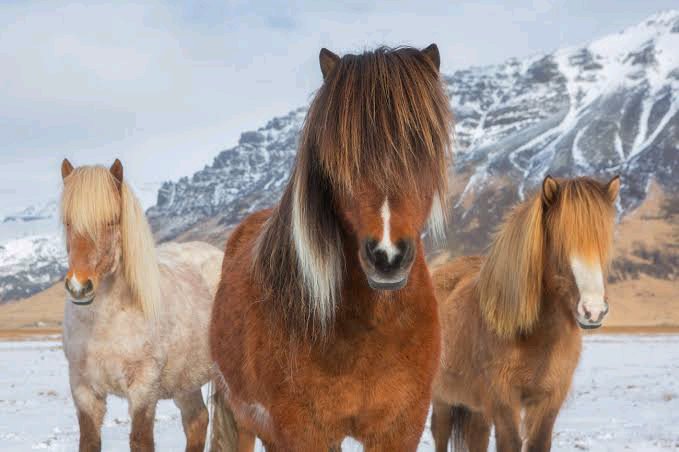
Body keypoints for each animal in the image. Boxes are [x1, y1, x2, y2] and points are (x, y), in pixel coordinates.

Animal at [59, 159, 223, 452]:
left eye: (111, 221)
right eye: (68, 221)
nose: (79, 286)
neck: (104, 323)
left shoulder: (144, 388)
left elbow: (141, 440)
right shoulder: (83, 388)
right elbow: (89, 441)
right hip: (187, 382)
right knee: (197, 422)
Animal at [208, 45, 453, 451]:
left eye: (421, 145)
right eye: (340, 156)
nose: (387, 257)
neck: (369, 328)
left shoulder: (401, 427)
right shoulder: (306, 431)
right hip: (245, 419)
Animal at [430, 175, 621, 452]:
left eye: (603, 241)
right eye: (559, 242)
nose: (593, 310)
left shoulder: (549, 400)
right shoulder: (504, 401)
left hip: (477, 410)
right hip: (443, 399)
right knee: (440, 433)